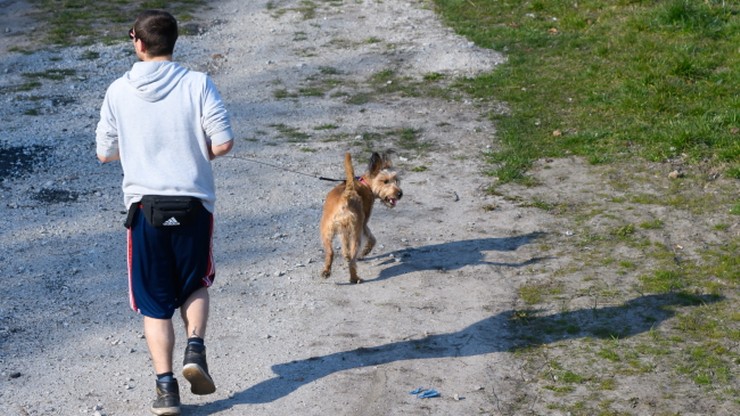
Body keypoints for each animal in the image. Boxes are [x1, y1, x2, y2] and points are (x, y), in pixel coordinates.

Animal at [320, 151, 404, 284]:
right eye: (385, 181)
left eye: (396, 180)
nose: (400, 194)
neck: (365, 184)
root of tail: (347, 195)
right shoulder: (363, 224)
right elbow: (372, 239)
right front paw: (365, 251)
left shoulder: (344, 231)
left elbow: (344, 244)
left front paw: (346, 255)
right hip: (356, 234)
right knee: (352, 261)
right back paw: (355, 278)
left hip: (326, 233)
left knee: (330, 253)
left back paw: (326, 272)